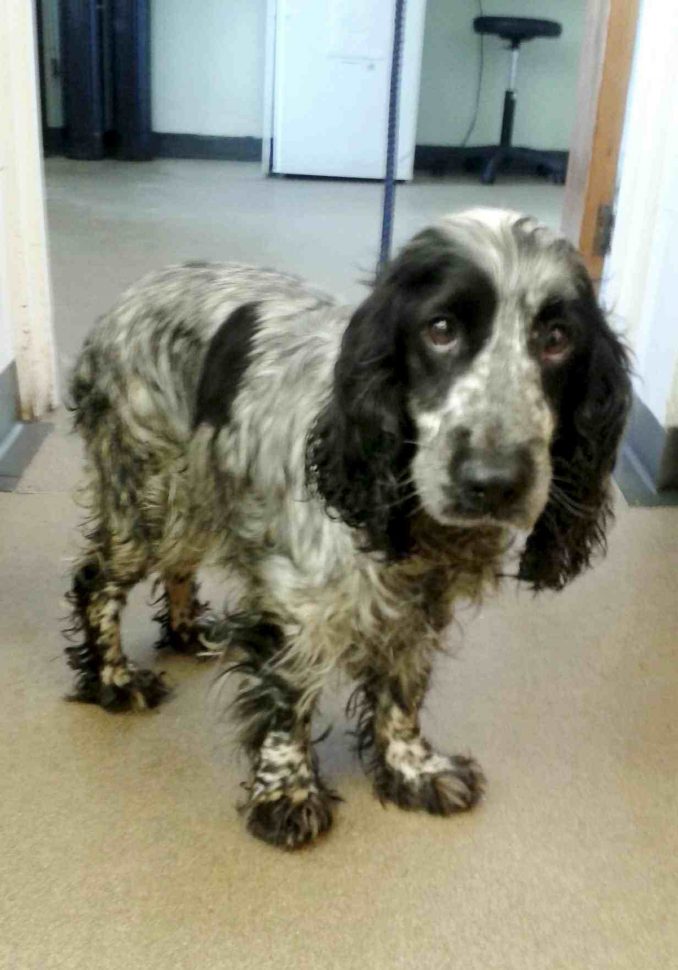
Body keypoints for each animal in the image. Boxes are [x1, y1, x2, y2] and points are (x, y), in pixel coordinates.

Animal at [63, 206, 632, 848]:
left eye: (557, 339)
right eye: (440, 329)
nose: (495, 481)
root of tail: (128, 297)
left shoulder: (418, 608)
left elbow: (403, 693)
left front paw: (413, 769)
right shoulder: (294, 606)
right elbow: (288, 700)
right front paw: (287, 794)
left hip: (194, 496)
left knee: (178, 565)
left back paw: (188, 634)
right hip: (147, 491)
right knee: (97, 581)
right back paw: (115, 680)